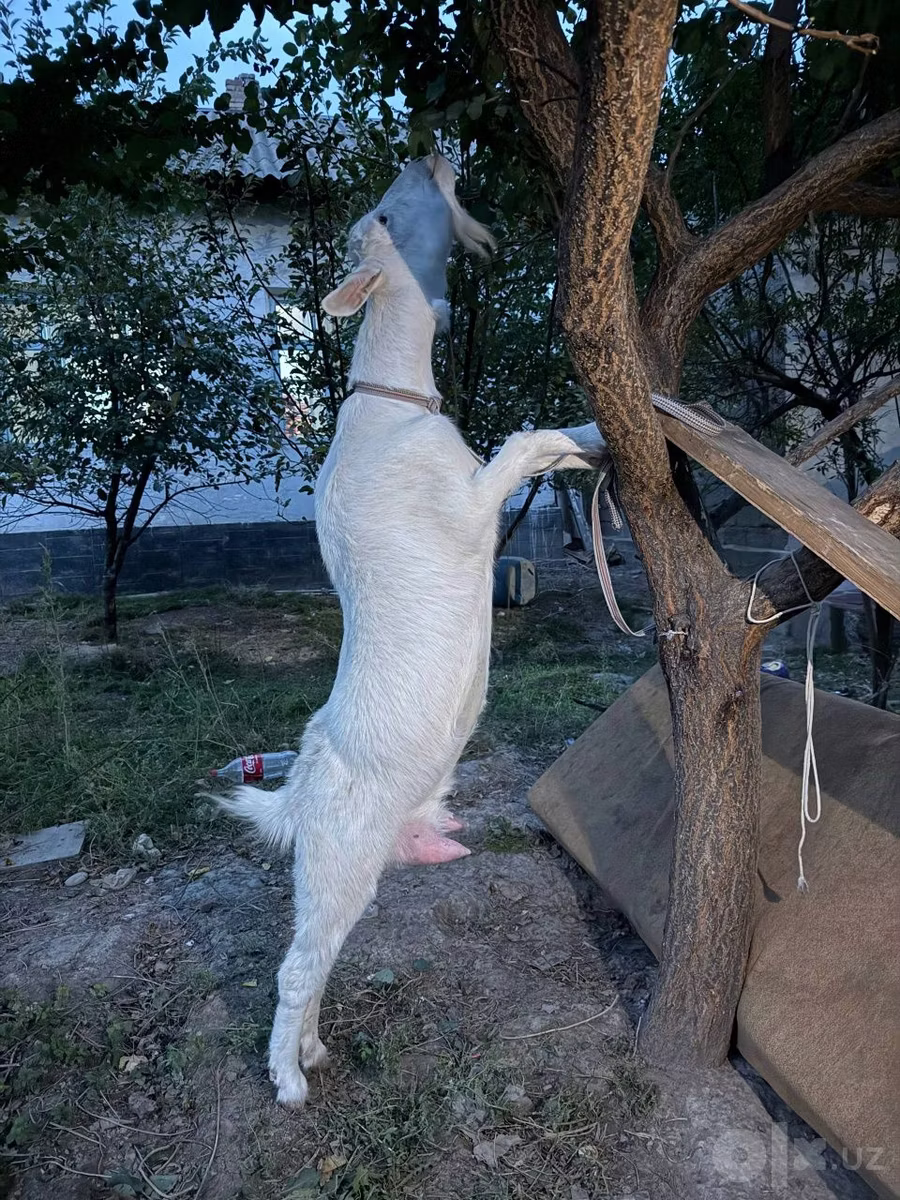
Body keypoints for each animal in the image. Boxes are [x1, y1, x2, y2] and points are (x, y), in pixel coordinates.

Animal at [221, 154, 608, 1107]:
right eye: (388, 215)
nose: (432, 155)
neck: (391, 404)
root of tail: (299, 788)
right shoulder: (469, 510)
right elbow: (522, 443)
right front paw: (574, 434)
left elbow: (546, 443)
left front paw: (592, 434)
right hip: (336, 863)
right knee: (294, 969)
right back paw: (287, 1080)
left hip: (350, 876)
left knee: (318, 964)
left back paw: (315, 1050)